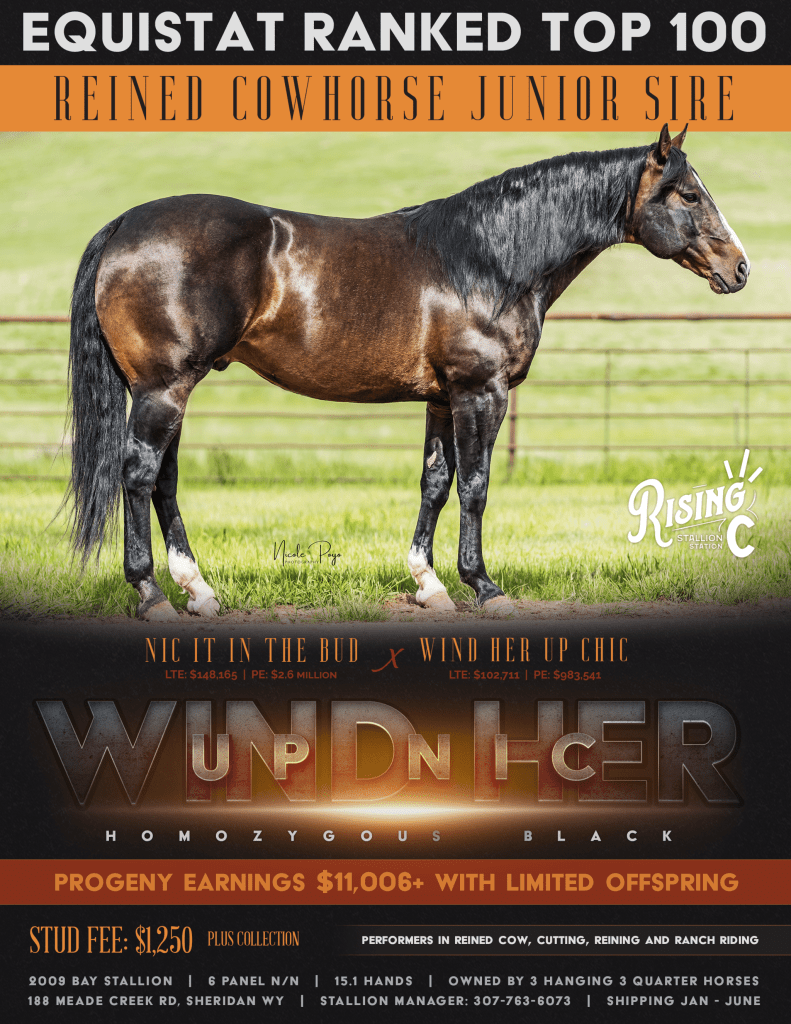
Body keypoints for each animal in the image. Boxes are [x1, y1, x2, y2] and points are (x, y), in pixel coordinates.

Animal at [64, 125, 749, 621]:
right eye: (689, 194)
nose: (739, 268)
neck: (488, 258)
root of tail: (125, 224)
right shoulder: (480, 393)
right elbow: (475, 488)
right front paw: (485, 587)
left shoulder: (443, 399)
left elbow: (436, 485)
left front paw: (431, 585)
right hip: (164, 387)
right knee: (139, 476)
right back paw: (153, 596)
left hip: (169, 389)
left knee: (162, 483)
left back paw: (199, 593)